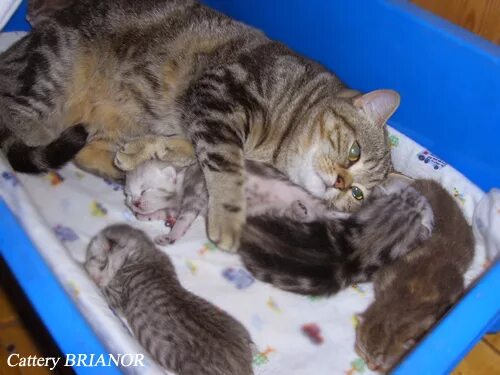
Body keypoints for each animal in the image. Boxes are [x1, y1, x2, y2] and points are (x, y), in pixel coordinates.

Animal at [125, 159, 346, 247]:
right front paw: (145, 216)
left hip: (302, 194)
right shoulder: (174, 206)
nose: (135, 203)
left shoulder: (195, 193)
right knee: (303, 216)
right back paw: (298, 209)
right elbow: (163, 213)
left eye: (145, 190)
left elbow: (183, 219)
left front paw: (171, 235)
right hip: (273, 211)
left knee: (327, 212)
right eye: (128, 195)